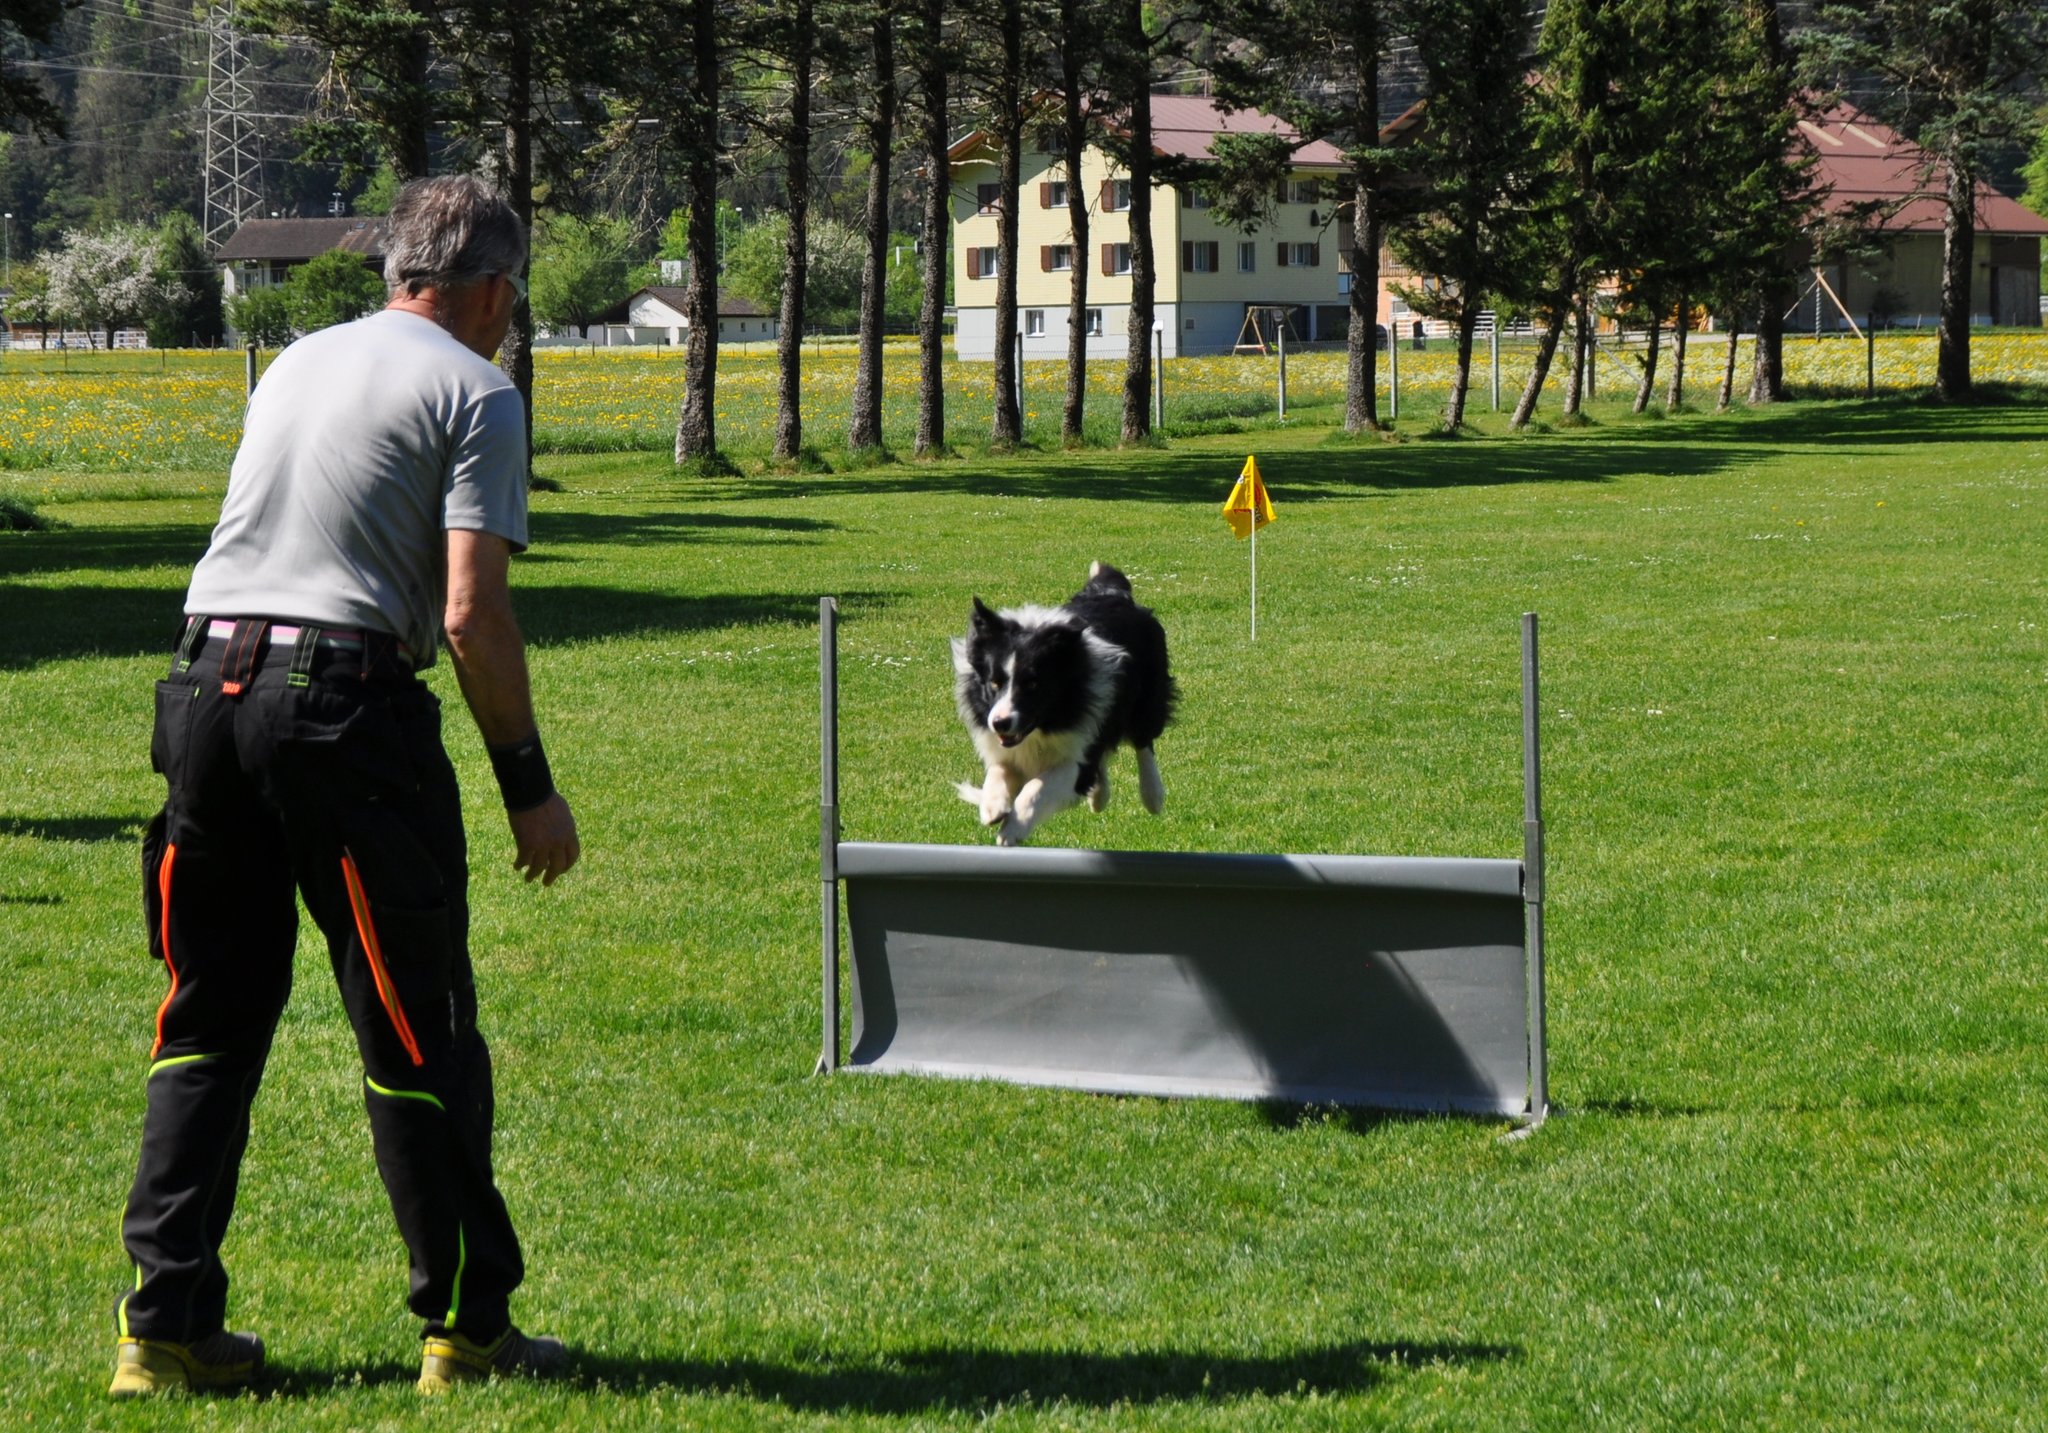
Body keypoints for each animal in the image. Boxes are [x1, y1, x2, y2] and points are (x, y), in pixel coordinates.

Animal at [952, 561, 1178, 846]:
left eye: (1033, 684)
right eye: (994, 683)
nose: (1000, 723)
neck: (1045, 726)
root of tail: (1113, 593)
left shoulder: (1074, 757)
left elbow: (1036, 788)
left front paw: (1013, 829)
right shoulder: (1010, 748)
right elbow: (998, 770)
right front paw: (992, 806)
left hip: (1146, 696)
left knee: (1143, 739)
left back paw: (1153, 795)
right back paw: (1099, 797)